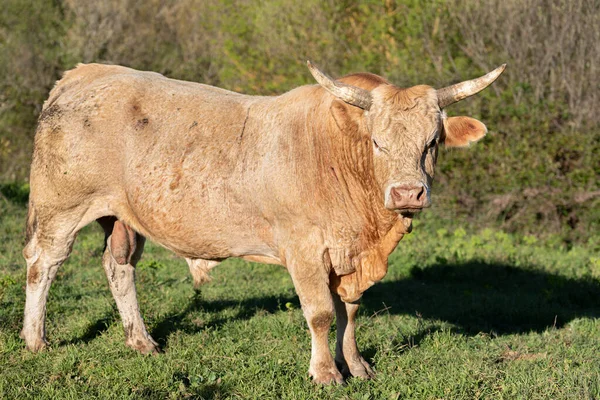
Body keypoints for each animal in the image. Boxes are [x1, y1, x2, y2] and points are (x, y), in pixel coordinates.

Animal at [21, 60, 504, 384]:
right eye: (377, 142)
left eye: (432, 142)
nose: (407, 193)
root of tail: (84, 73)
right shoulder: (305, 249)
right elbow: (320, 314)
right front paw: (326, 373)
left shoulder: (348, 255)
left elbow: (349, 311)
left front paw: (357, 364)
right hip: (60, 208)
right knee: (42, 265)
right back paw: (35, 340)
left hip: (122, 216)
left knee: (119, 266)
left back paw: (142, 341)